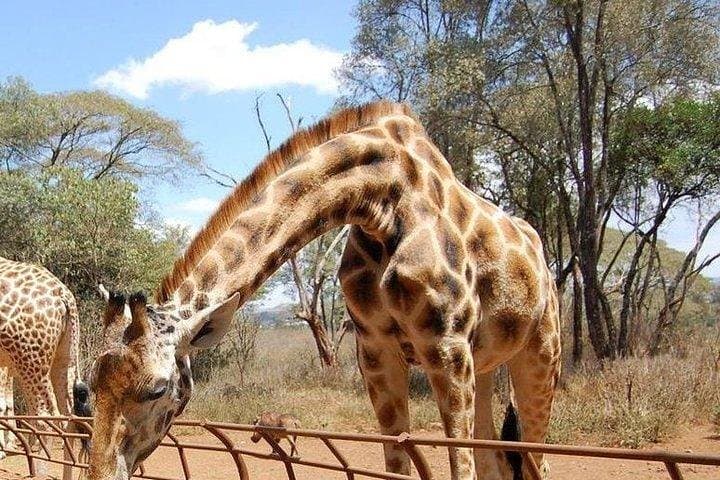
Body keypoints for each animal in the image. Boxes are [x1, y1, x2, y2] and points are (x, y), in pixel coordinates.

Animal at [87, 101, 561, 480]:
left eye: (157, 389)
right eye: (90, 386)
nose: (100, 475)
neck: (382, 200)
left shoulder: (446, 345)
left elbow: (458, 465)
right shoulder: (376, 351)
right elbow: (397, 463)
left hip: (540, 355)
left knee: (536, 460)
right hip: (485, 367)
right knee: (497, 459)